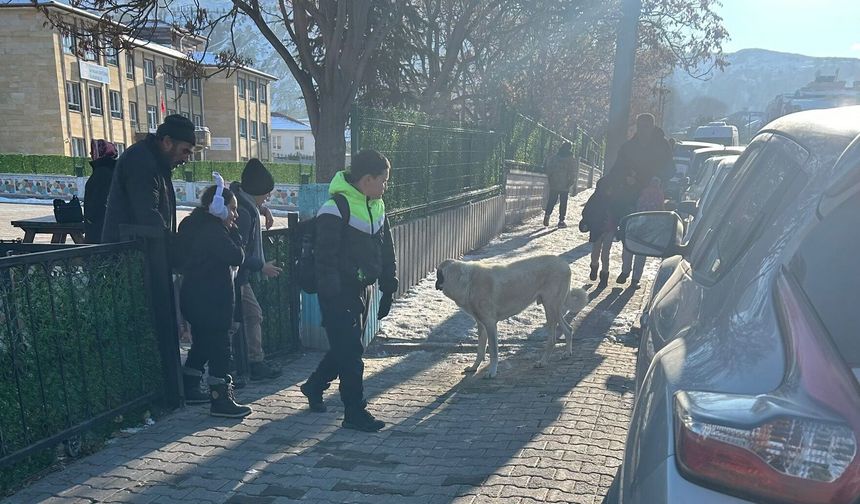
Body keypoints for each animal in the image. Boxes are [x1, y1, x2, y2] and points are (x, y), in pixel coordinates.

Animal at [434, 256, 588, 378]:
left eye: (438, 275)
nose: (435, 284)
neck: (467, 282)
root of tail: (564, 264)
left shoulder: (490, 324)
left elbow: (493, 351)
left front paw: (492, 372)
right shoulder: (481, 324)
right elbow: (480, 350)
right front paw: (474, 367)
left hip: (550, 309)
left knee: (552, 339)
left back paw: (543, 362)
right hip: (553, 309)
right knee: (568, 329)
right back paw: (567, 353)